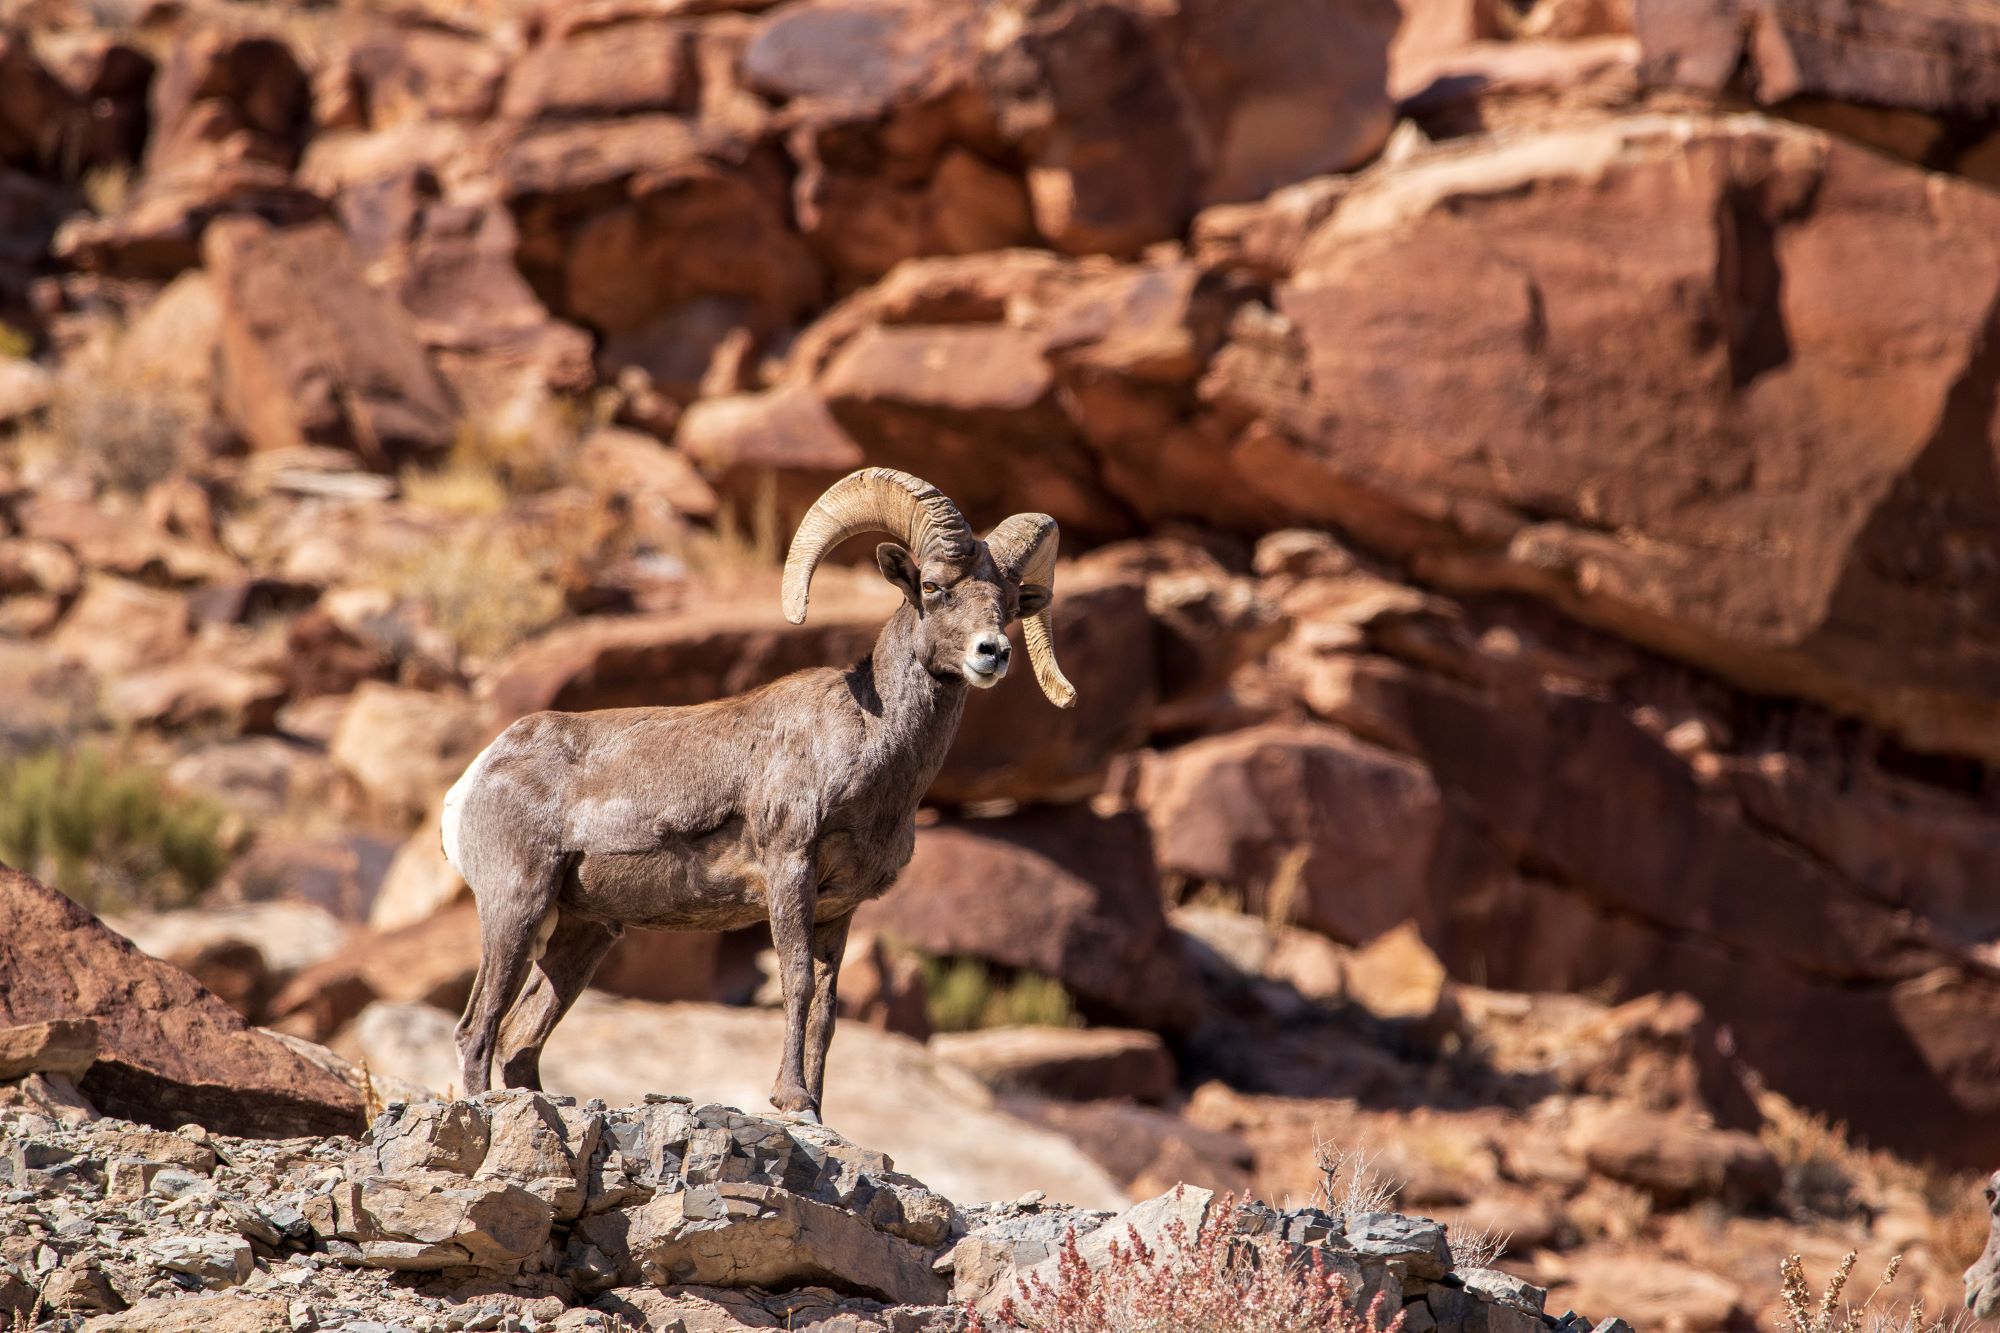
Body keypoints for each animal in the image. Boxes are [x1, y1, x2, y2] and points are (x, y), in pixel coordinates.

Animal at [440, 464, 1080, 1112]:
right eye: (931, 587)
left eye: (1008, 604)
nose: (992, 653)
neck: (870, 743)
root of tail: (477, 776)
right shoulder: (789, 869)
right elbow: (796, 983)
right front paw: (790, 1098)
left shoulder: (839, 909)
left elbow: (827, 1010)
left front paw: (816, 1109)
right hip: (516, 906)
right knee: (477, 1029)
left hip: (582, 935)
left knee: (519, 1042)